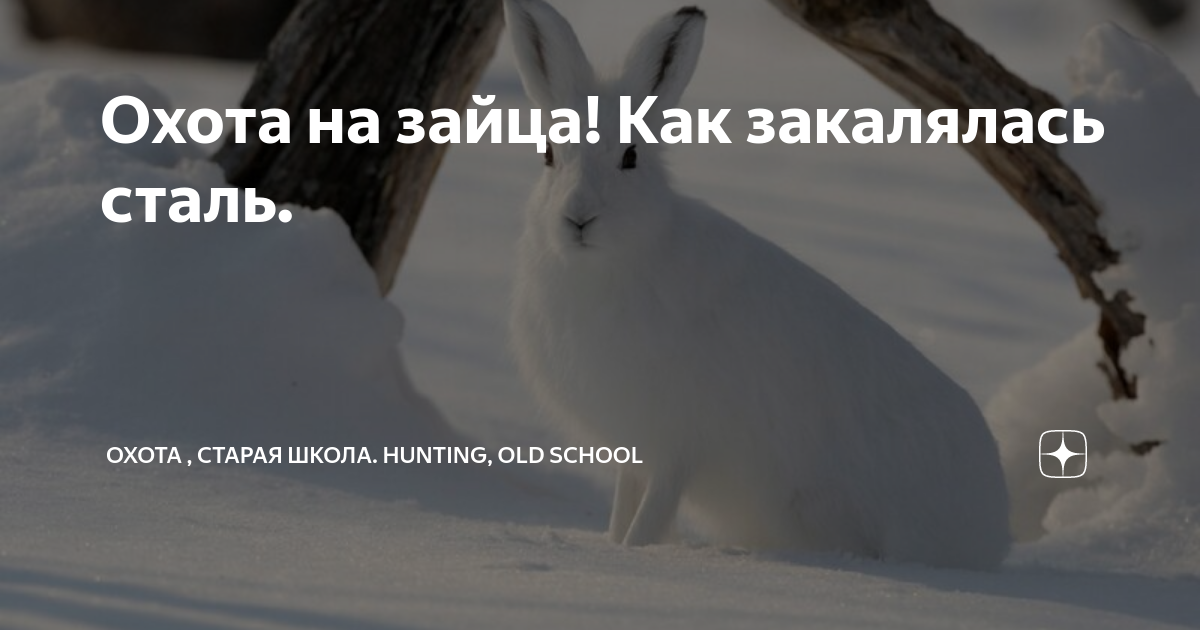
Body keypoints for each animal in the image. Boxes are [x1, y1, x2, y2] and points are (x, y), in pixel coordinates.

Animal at [504, 0, 1011, 569]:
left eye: (629, 157)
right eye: (548, 154)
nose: (577, 218)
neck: (608, 265)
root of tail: (994, 528)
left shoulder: (678, 445)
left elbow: (650, 517)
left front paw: (635, 554)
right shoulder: (634, 451)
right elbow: (623, 512)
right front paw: (613, 550)